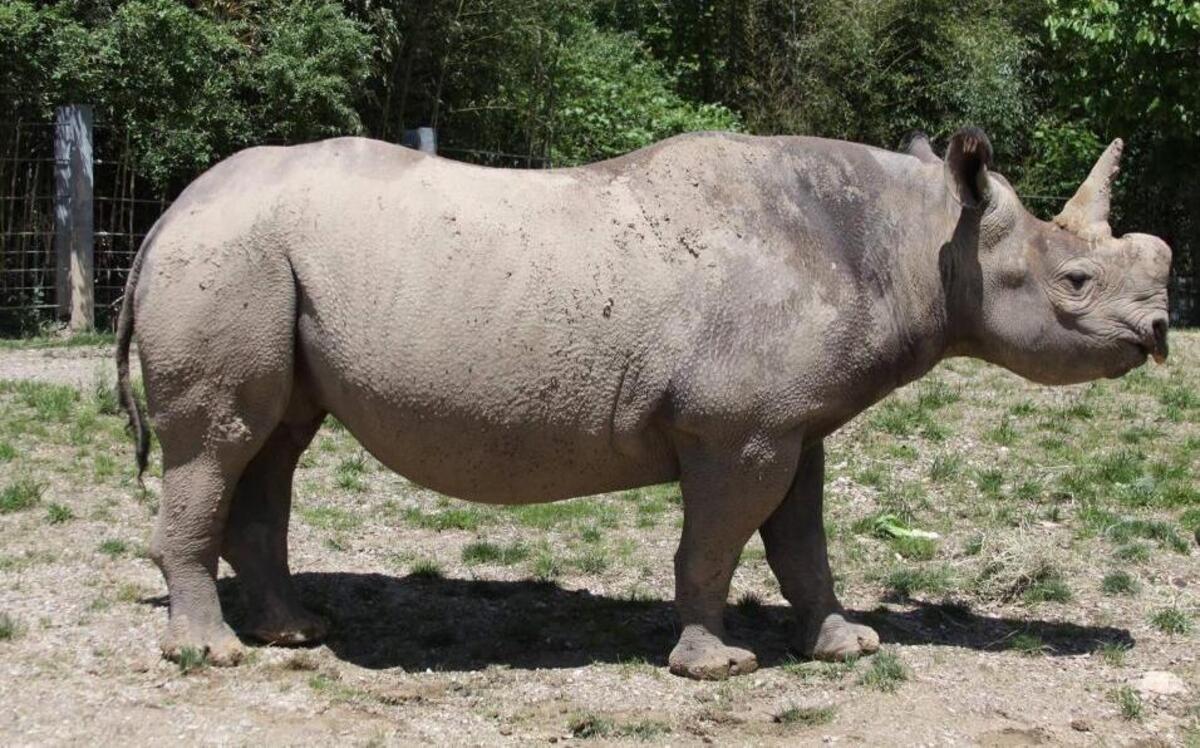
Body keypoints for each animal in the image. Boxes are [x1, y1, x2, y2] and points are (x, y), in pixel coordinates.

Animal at [116, 127, 1170, 680]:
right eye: (1076, 282)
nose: (1159, 332)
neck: (920, 245)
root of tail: (168, 212)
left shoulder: (796, 423)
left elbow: (803, 541)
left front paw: (846, 646)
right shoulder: (740, 428)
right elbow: (716, 542)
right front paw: (717, 666)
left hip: (257, 259)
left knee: (276, 443)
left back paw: (298, 634)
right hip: (231, 255)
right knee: (220, 444)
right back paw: (209, 655)